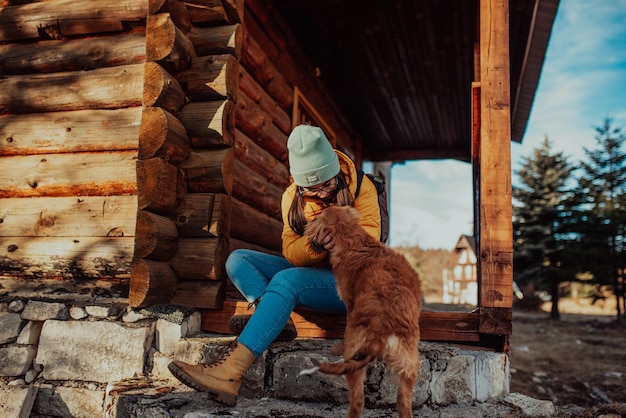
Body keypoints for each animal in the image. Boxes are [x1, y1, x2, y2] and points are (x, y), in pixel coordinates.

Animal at [302, 206, 422, 418]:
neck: (353, 239)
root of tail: (383, 327)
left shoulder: (349, 305)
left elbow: (344, 330)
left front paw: (337, 348)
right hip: (409, 366)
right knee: (403, 403)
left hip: (354, 360)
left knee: (358, 401)